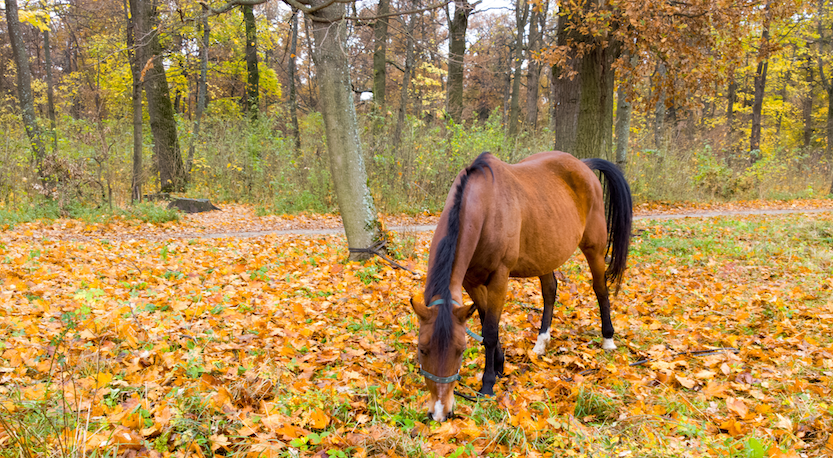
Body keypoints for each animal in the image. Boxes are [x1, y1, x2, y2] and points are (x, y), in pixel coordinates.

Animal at [411, 151, 632, 422]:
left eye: (460, 351)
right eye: (422, 349)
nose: (440, 413)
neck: (486, 208)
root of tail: (584, 166)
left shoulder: (499, 278)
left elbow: (491, 331)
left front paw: (487, 384)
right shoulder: (471, 281)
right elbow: (486, 324)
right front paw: (499, 365)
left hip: (595, 247)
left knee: (600, 290)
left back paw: (608, 339)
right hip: (546, 252)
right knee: (550, 290)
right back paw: (541, 342)